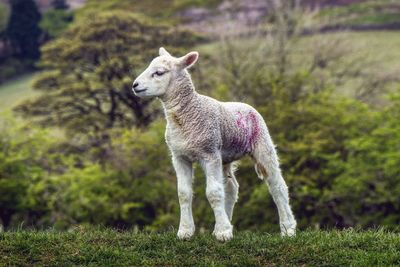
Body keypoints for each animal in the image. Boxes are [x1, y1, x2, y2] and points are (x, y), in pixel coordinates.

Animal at [133, 47, 296, 242]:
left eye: (159, 72)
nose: (134, 85)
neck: (185, 116)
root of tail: (244, 104)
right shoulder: (179, 156)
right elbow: (184, 193)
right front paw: (186, 231)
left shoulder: (209, 153)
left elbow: (213, 192)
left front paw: (223, 232)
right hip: (225, 155)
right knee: (231, 188)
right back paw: (226, 221)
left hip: (262, 142)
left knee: (277, 185)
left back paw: (288, 228)